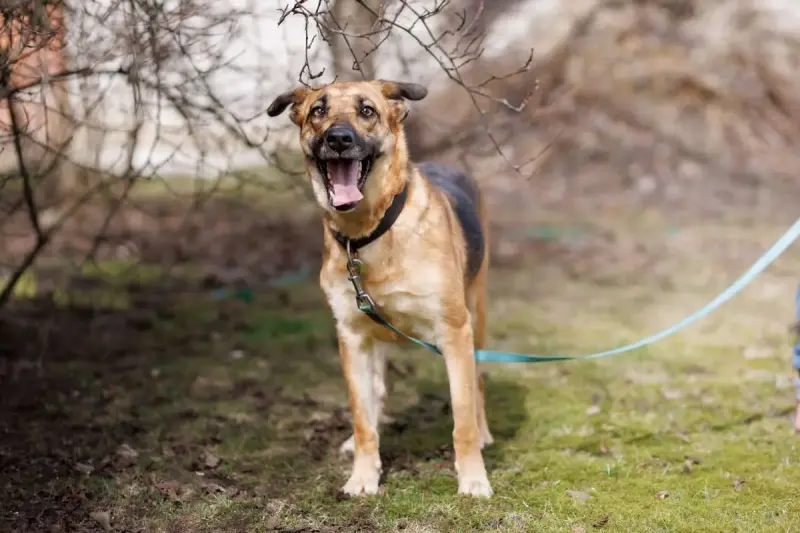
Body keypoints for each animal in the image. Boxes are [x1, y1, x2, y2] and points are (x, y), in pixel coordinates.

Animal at [268, 80, 494, 498]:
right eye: (318, 111)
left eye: (367, 111)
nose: (339, 139)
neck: (368, 233)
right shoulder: (353, 337)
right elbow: (362, 418)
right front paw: (363, 476)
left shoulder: (455, 332)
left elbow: (463, 416)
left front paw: (473, 478)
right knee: (375, 392)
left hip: (477, 313)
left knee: (479, 382)